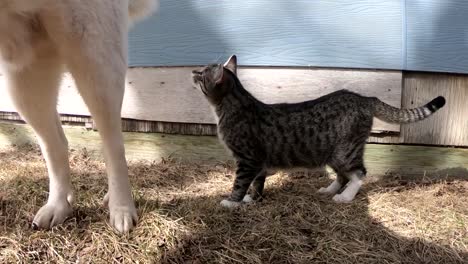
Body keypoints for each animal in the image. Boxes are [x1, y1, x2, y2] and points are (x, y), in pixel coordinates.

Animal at [0, 0, 159, 232]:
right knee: (56, 144)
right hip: (27, 79)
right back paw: (58, 205)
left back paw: (121, 207)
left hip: (93, 51)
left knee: (113, 145)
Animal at [191, 55, 446, 207]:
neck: (231, 105)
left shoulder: (247, 160)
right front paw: (251, 199)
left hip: (345, 150)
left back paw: (344, 196)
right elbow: (256, 184)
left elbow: (240, 182)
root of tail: (365, 98)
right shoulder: (258, 163)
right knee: (342, 175)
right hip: (332, 152)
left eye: (202, 74)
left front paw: (231, 201)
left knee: (359, 173)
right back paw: (329, 189)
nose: (193, 71)